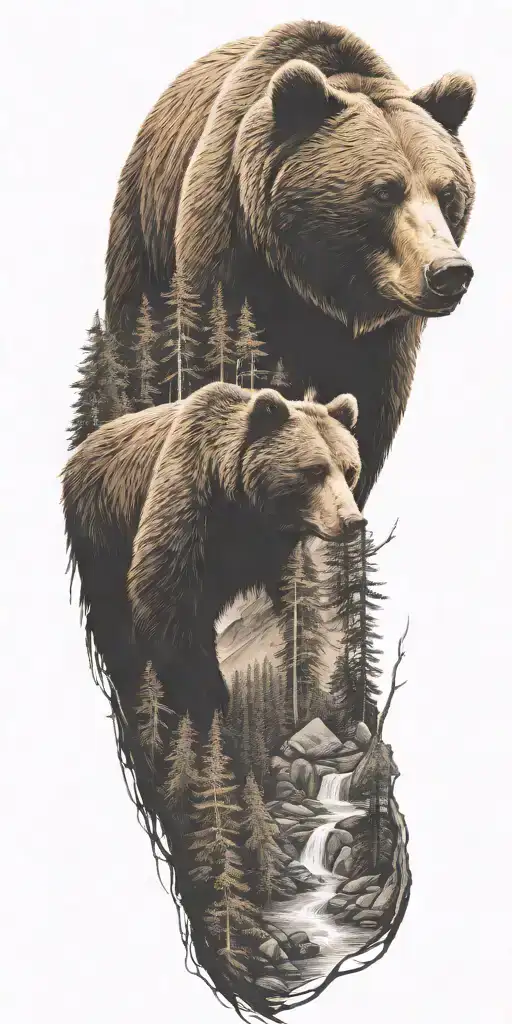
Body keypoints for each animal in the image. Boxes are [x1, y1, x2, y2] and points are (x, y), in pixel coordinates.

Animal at [62, 382, 363, 732]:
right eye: (315, 470)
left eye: (349, 469)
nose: (353, 521)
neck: (245, 509)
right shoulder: (188, 507)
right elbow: (164, 599)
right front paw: (206, 703)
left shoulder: (273, 549)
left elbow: (294, 597)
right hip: (100, 525)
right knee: (111, 613)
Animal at [105, 19, 476, 510]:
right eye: (385, 191)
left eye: (447, 191)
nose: (449, 271)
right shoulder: (228, 252)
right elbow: (218, 365)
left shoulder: (387, 334)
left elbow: (370, 413)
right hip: (145, 230)